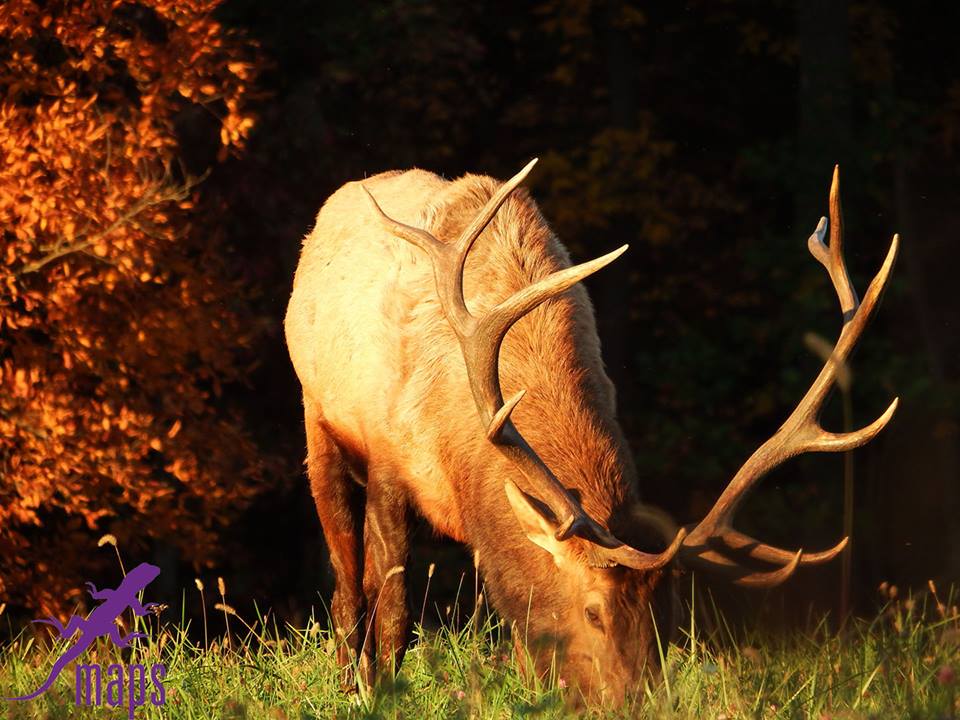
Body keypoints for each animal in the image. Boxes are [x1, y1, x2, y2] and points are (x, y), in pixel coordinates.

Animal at [283, 159, 898, 706]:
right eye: (593, 611)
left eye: (668, 620)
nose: (636, 700)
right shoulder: (388, 456)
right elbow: (392, 606)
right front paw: (379, 692)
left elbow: (522, 629)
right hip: (318, 419)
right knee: (346, 581)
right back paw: (348, 680)